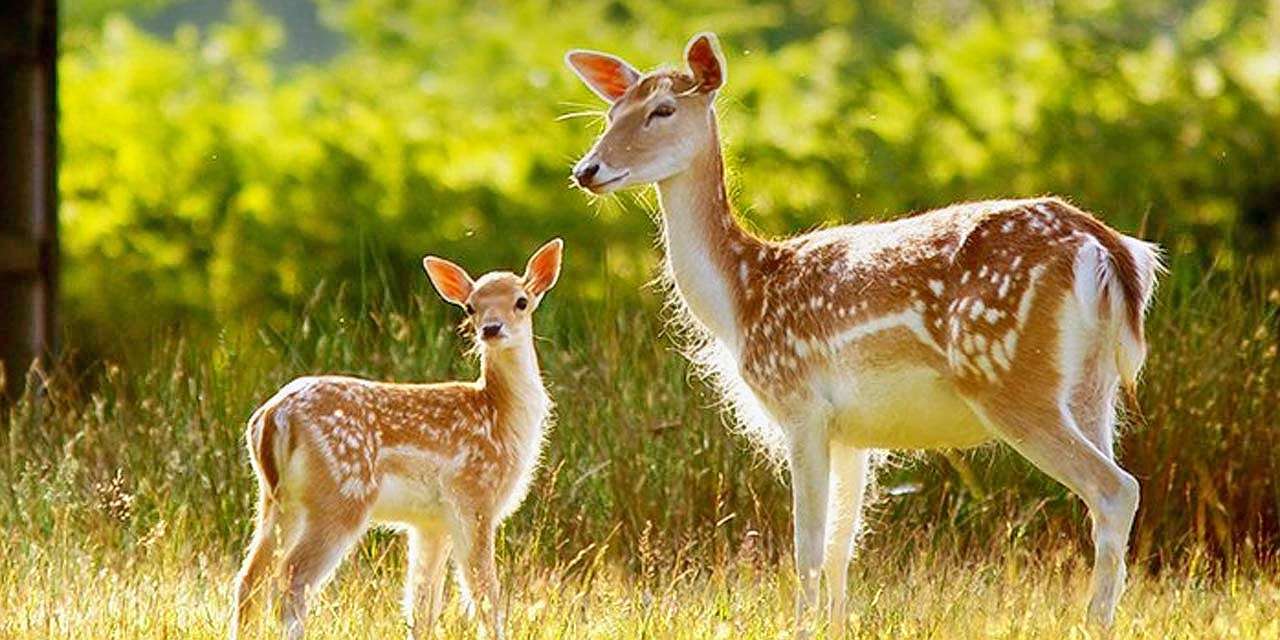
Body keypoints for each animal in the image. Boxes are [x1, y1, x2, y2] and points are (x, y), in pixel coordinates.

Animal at [231, 239, 564, 640]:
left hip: (277, 500)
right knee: (293, 577)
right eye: (471, 306)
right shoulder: (474, 498)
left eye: (521, 301)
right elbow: (485, 596)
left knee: (250, 578)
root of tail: (273, 416)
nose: (491, 328)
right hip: (342, 495)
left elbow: (421, 605)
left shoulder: (431, 521)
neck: (500, 416)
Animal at [566, 33, 1163, 636]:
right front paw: (835, 625)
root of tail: (1108, 250)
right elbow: (840, 548)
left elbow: (807, 546)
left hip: (1009, 376)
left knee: (1115, 489)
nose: (587, 170)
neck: (743, 298)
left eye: (662, 110)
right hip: (1093, 388)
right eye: (612, 113)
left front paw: (799, 627)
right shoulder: (852, 432)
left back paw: (1093, 622)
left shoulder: (800, 403)